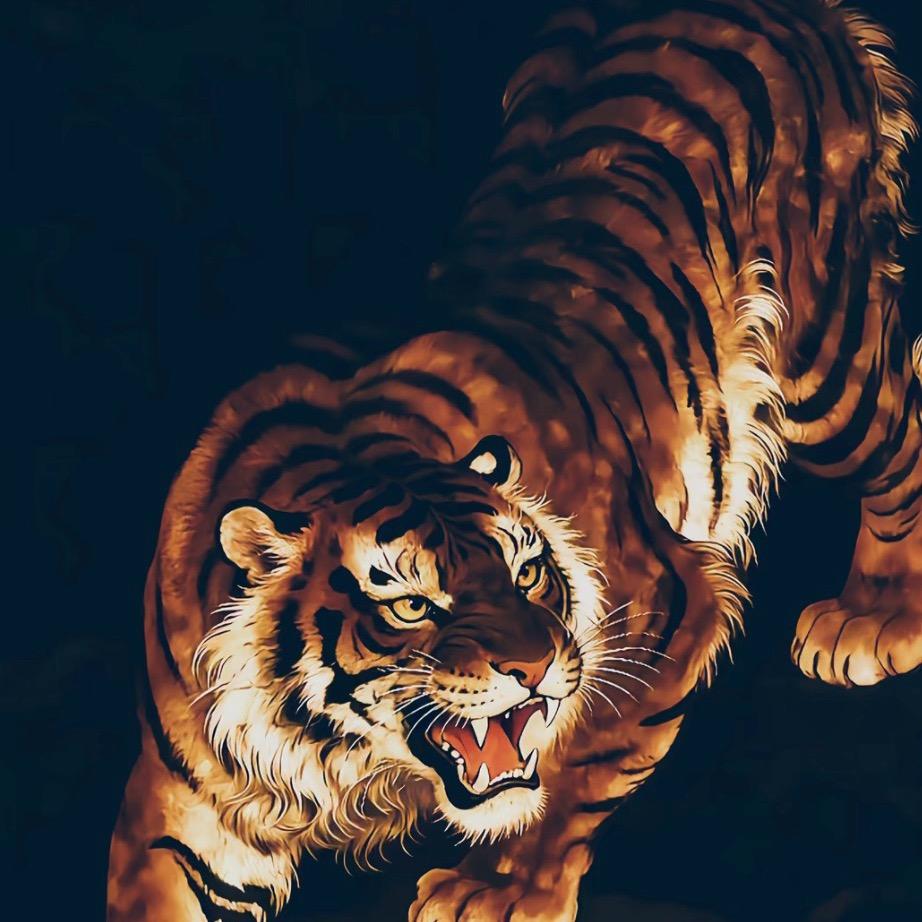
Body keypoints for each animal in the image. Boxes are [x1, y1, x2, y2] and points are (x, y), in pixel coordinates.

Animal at [106, 0, 921, 919]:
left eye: (529, 574)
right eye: (409, 606)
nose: (534, 669)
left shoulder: (671, 602)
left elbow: (575, 769)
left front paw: (499, 890)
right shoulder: (188, 804)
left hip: (826, 354)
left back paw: (878, 617)